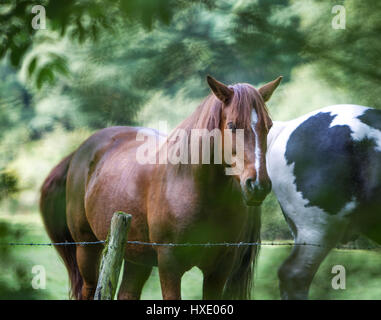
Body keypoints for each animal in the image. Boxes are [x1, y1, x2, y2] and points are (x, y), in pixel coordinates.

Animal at [40, 75, 280, 300]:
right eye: (231, 125)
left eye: (268, 126)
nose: (257, 184)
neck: (195, 188)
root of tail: (80, 152)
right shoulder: (169, 264)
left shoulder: (219, 270)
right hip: (87, 249)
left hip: (136, 257)